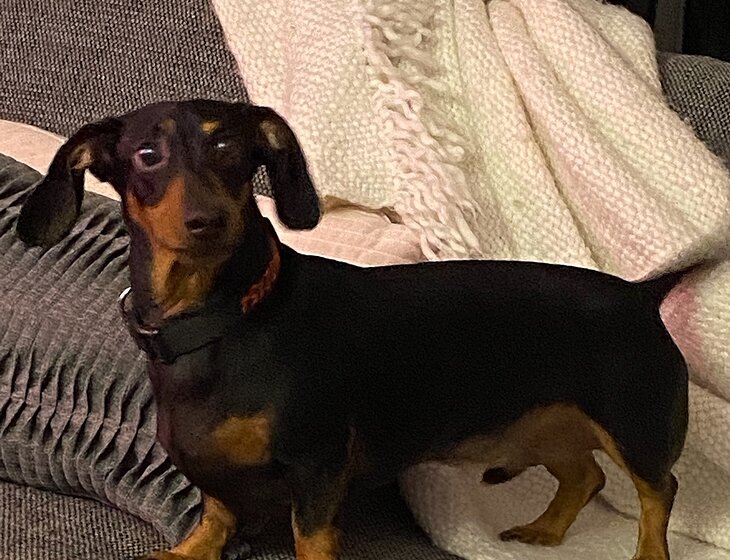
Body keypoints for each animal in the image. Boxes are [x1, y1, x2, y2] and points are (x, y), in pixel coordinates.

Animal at [16, 100, 692, 560]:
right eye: (146, 155)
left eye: (230, 148)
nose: (206, 221)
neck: (223, 322)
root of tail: (638, 295)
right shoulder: (216, 471)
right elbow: (215, 513)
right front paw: (190, 550)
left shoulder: (319, 466)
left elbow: (310, 540)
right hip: (547, 425)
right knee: (586, 475)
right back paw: (545, 530)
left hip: (635, 426)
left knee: (659, 490)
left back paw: (645, 552)